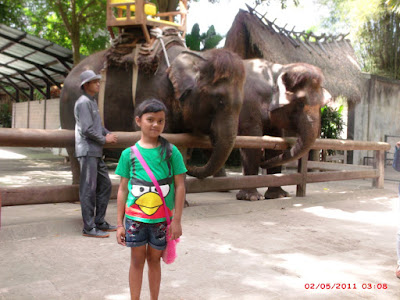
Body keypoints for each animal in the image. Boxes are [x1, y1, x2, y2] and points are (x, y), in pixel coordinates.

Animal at [60, 42, 245, 184]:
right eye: (220, 100)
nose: (190, 166)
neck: (196, 56)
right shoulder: (151, 91)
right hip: (69, 107)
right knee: (73, 150)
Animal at [236, 59, 330, 200]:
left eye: (321, 106)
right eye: (299, 104)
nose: (262, 160)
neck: (276, 71)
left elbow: (275, 143)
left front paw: (278, 196)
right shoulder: (247, 105)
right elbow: (251, 142)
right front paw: (252, 197)